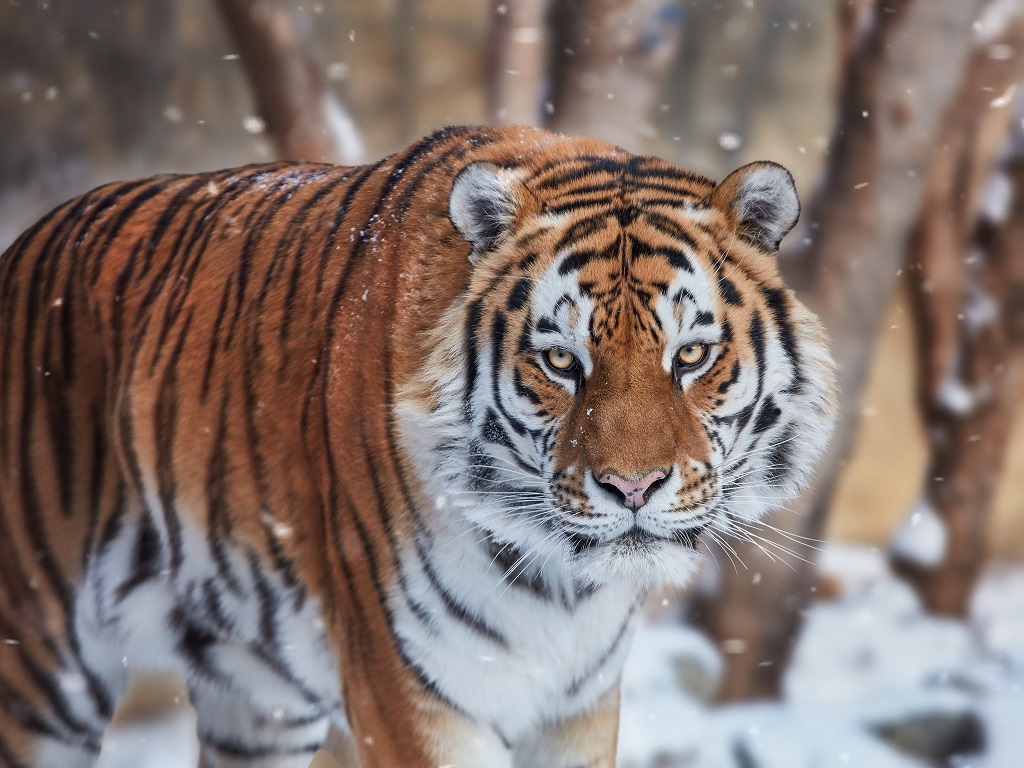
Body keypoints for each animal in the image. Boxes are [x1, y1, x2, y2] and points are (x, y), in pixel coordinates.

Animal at [0, 124, 837, 768]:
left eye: (690, 356)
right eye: (561, 361)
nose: (632, 489)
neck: (564, 587)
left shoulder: (579, 706)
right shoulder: (408, 693)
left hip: (255, 699)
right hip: (41, 667)